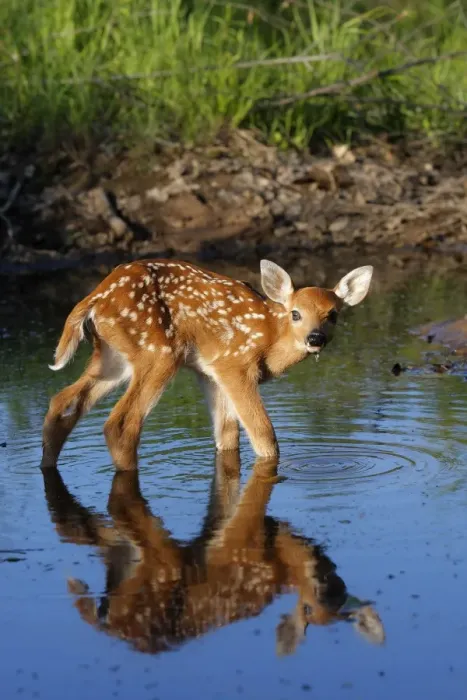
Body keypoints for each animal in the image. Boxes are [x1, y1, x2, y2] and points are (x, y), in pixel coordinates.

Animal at [41, 258, 373, 470]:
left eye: (333, 314)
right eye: (295, 313)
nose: (315, 338)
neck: (268, 338)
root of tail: (96, 297)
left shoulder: (210, 371)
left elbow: (227, 435)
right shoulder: (235, 365)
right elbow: (264, 434)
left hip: (113, 357)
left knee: (62, 401)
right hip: (159, 352)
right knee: (121, 424)